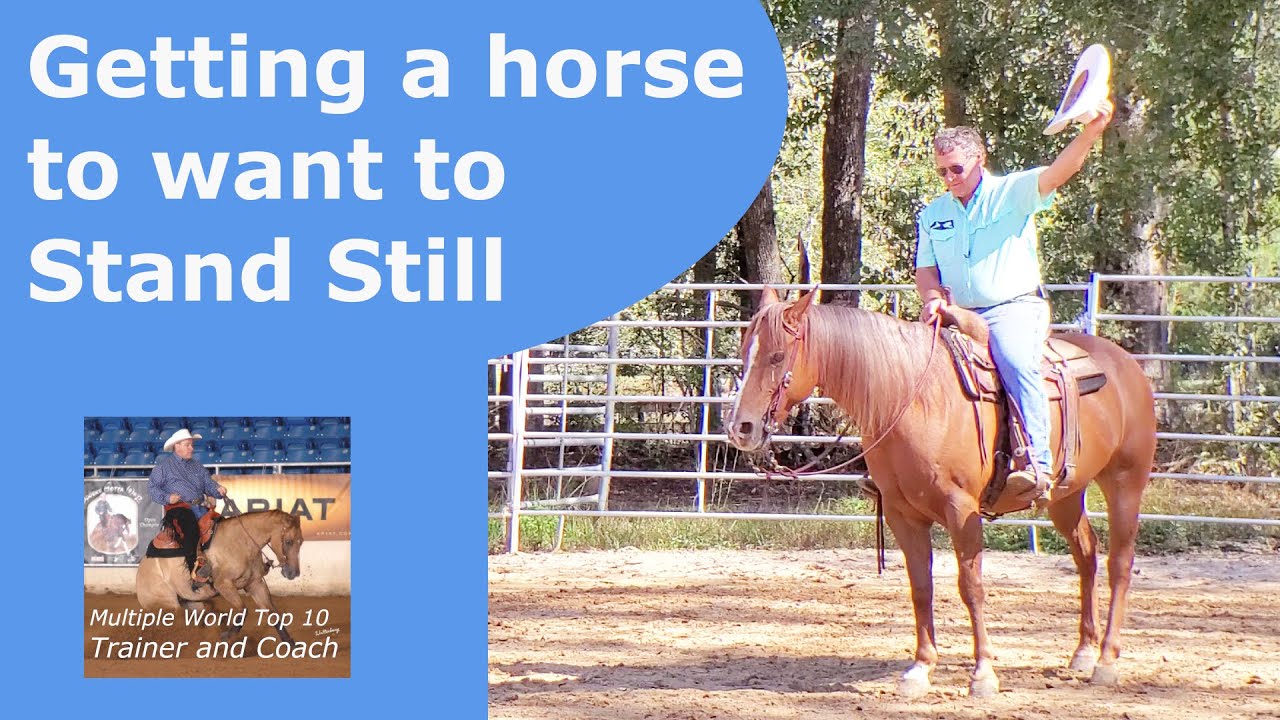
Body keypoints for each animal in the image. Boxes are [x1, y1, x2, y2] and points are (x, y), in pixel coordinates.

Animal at [137, 507, 304, 643]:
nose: (293, 573)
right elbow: (242, 610)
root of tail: (141, 571)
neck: (240, 542)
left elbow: (273, 614)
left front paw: (291, 645)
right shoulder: (224, 585)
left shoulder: (255, 584)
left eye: (301, 541)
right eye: (288, 541)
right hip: (166, 605)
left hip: (191, 602)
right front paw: (225, 636)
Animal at [726, 288, 1155, 698]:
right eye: (745, 351)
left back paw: (1106, 661)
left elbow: (971, 587)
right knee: (1086, 554)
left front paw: (983, 675)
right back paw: (1083, 653)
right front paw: (920, 670)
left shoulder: (961, 511)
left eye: (777, 355)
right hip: (1066, 496)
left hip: (1124, 483)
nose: (740, 428)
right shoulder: (901, 513)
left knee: (1119, 563)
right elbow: (921, 587)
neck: (912, 400)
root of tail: (1125, 363)